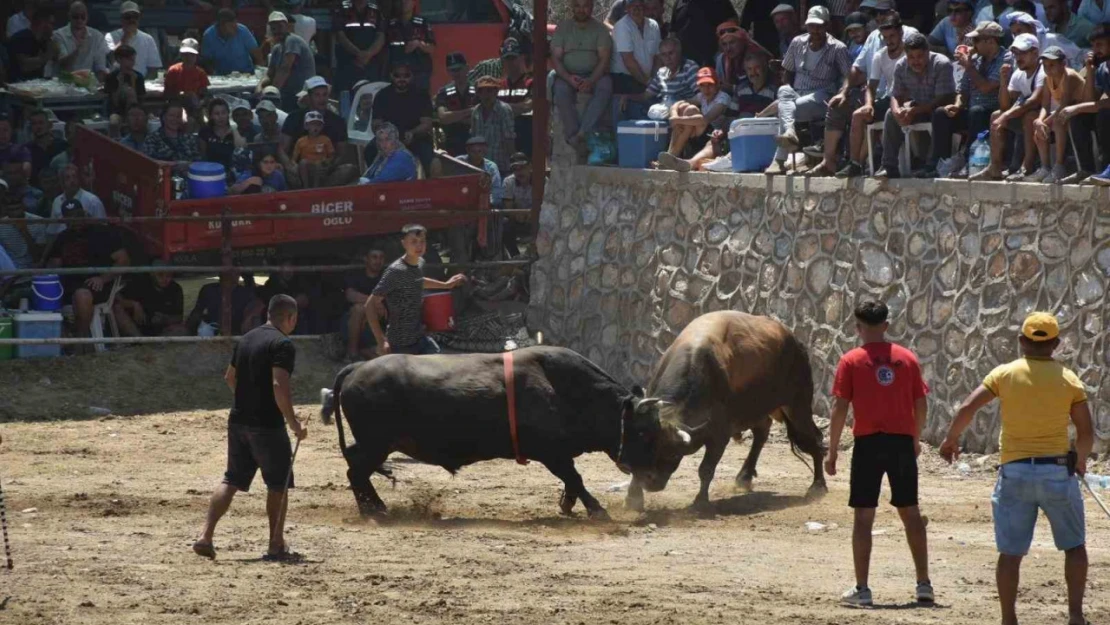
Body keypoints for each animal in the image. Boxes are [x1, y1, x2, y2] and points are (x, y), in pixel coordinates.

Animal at [621, 313, 830, 512]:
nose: (651, 482)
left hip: (798, 406)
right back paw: (745, 476)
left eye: (673, 454)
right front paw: (633, 499)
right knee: (762, 432)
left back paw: (818, 486)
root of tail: (796, 343)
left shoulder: (720, 435)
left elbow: (706, 469)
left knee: (815, 441)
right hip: (757, 410)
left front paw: (700, 501)